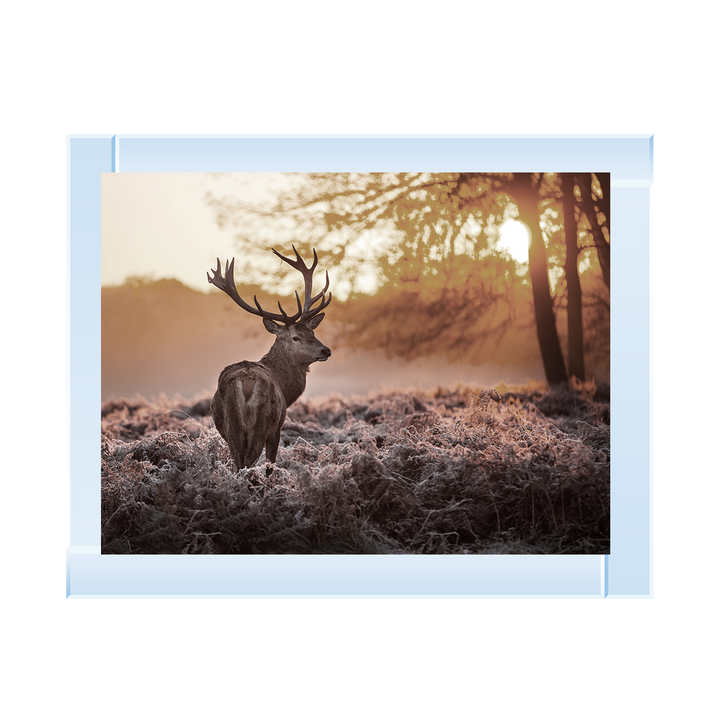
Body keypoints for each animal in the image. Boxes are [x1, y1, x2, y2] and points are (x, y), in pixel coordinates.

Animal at [207, 246, 332, 478]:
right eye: (296, 337)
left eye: (312, 332)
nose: (326, 350)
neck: (285, 387)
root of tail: (246, 382)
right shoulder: (277, 428)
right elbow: (270, 466)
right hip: (261, 424)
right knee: (248, 464)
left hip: (232, 428)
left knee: (239, 465)